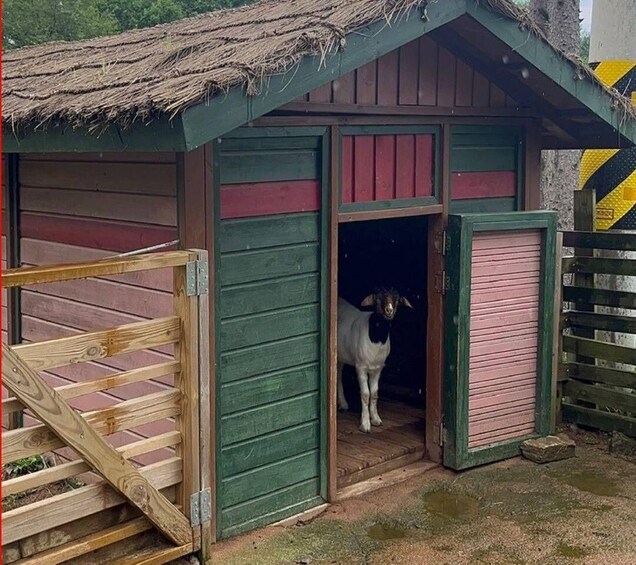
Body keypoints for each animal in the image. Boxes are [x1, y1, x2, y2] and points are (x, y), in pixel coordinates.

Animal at [336, 288, 414, 434]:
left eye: (396, 298)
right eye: (377, 299)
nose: (389, 310)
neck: (376, 336)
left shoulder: (377, 369)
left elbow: (374, 393)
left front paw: (376, 419)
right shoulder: (360, 367)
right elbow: (365, 394)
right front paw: (365, 424)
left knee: (338, 373)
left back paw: (343, 404)